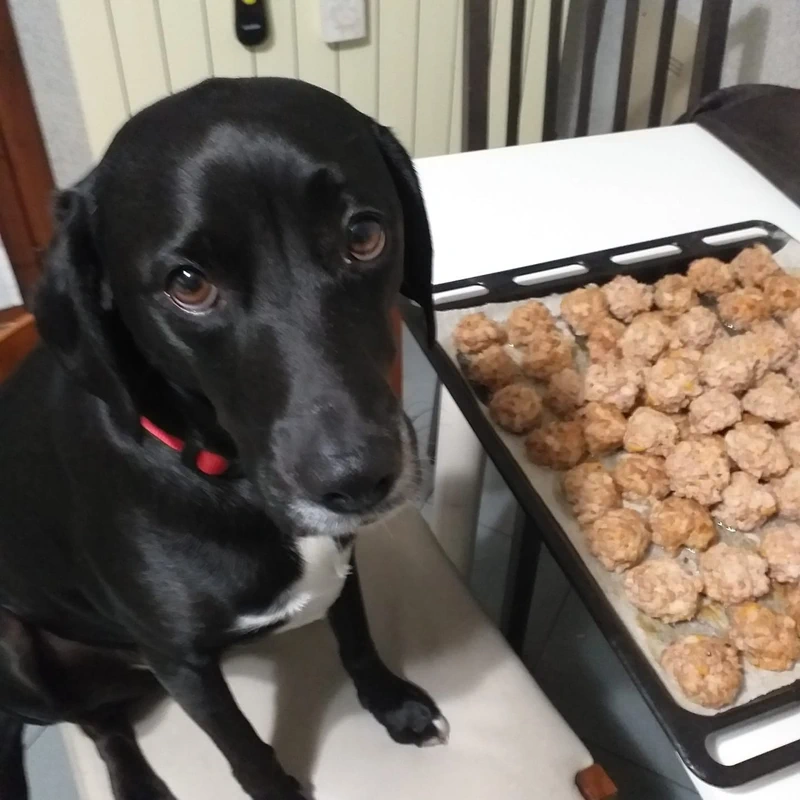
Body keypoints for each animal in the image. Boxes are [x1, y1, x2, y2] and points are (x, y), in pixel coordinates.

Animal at [0, 78, 443, 800]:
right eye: (188, 284)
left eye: (364, 235)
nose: (358, 480)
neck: (222, 472)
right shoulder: (183, 664)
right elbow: (246, 751)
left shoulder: (343, 560)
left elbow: (356, 636)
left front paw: (392, 703)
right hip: (18, 658)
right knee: (96, 723)